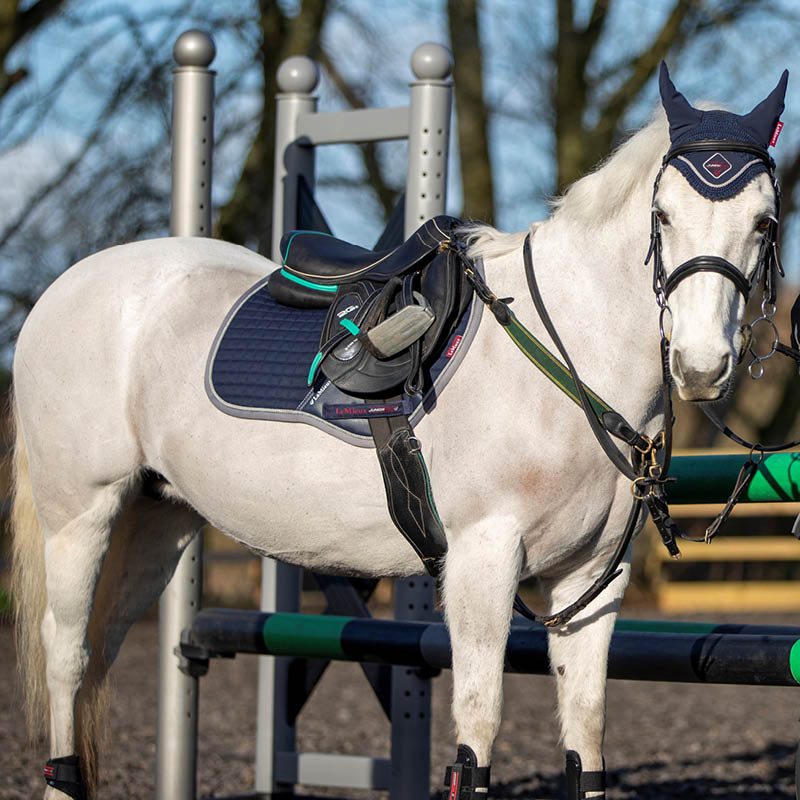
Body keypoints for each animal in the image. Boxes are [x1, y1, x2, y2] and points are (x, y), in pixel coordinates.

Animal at [11, 64, 787, 799]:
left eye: (764, 223)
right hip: (79, 516)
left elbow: (586, 741)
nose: (701, 365)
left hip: (157, 521)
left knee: (101, 652)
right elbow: (477, 734)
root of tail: (65, 287)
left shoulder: (592, 579)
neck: (564, 350)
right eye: (662, 215)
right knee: (68, 654)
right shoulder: (482, 560)